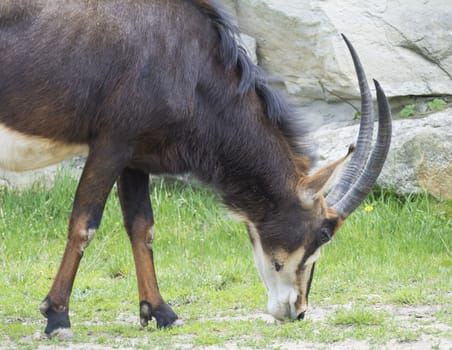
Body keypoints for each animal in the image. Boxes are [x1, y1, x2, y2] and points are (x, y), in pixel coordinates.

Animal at [0, 0, 390, 340]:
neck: (189, 60)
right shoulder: (111, 145)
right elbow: (84, 225)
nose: (298, 310)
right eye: (323, 232)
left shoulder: (134, 156)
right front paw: (57, 317)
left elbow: (142, 227)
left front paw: (160, 312)